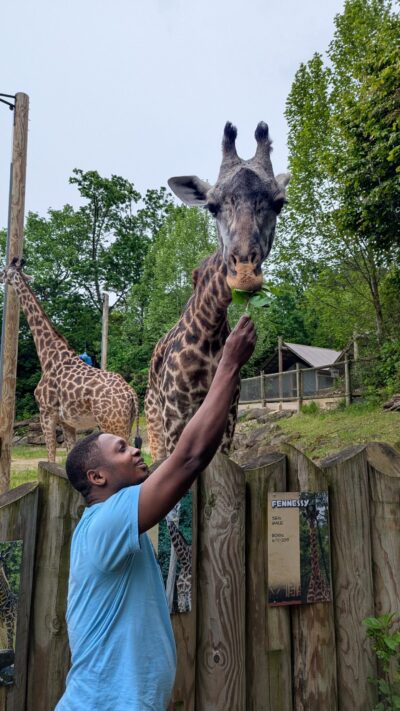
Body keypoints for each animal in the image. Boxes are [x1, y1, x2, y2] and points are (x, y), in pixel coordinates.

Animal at [0, 258, 140, 461]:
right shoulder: (67, 422)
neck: (49, 357)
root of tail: (131, 394)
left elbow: (50, 457)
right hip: (125, 424)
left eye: (4, 270)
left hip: (113, 423)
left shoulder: (46, 414)